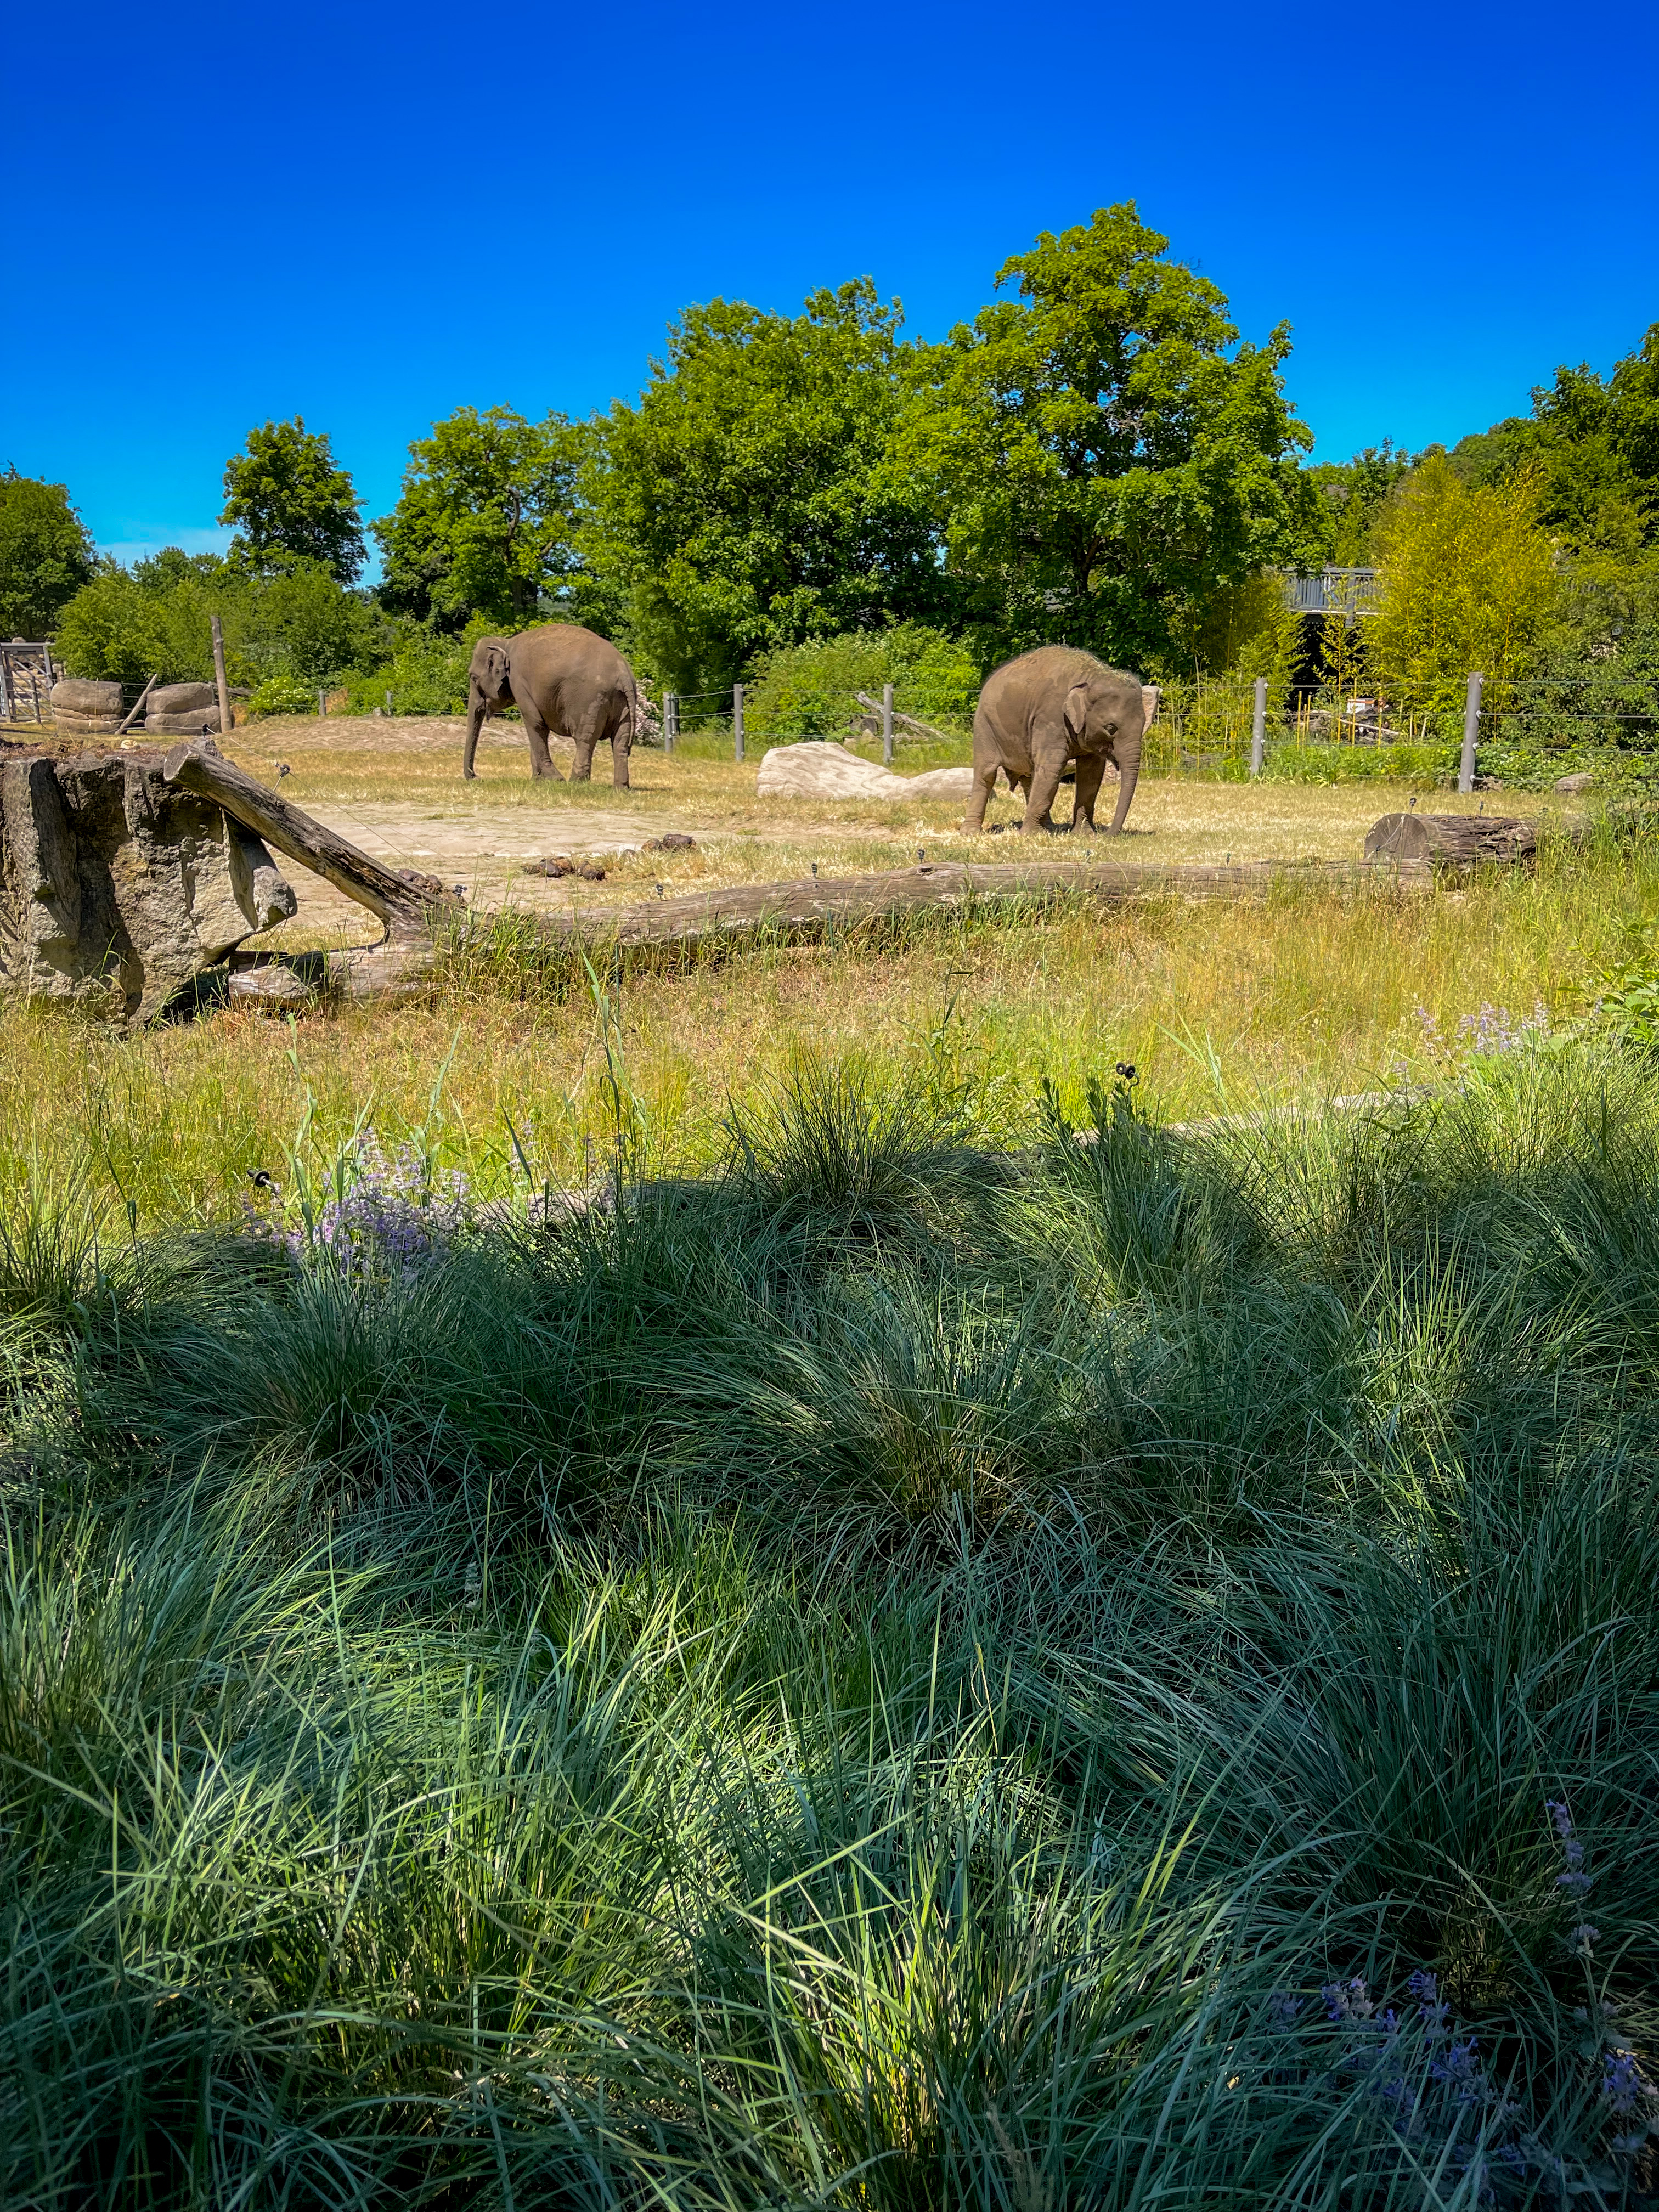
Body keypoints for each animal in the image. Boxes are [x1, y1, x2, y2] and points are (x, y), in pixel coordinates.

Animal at [464, 624, 641, 787]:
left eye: (473, 678)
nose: (476, 777)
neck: (505, 642)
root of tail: (624, 676)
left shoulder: (519, 682)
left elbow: (535, 722)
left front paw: (556, 780)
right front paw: (538, 781)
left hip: (590, 701)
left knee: (585, 739)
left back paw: (575, 783)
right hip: (623, 703)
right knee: (620, 742)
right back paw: (621, 788)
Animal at [960, 650, 1159, 840]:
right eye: (1111, 728)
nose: (1106, 835)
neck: (1092, 676)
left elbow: (1091, 774)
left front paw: (1084, 834)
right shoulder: (1050, 717)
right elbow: (1052, 767)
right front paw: (1030, 836)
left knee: (1030, 777)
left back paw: (1049, 828)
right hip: (984, 725)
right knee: (987, 774)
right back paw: (971, 833)